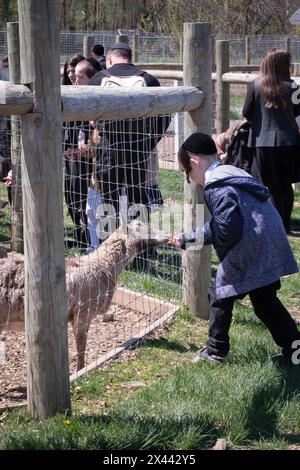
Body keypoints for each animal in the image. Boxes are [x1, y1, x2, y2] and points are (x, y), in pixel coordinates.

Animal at [0, 220, 168, 370]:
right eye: (139, 224)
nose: (167, 235)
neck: (102, 265)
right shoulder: (82, 314)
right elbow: (81, 348)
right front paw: (79, 371)